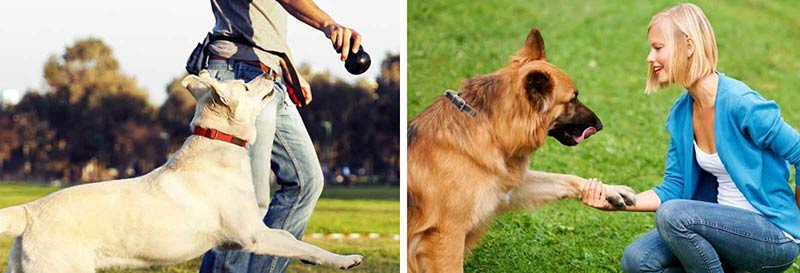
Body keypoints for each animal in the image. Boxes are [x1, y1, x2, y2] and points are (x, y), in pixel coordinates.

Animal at [0, 74, 362, 272]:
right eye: (245, 86)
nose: (269, 72)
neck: (218, 143)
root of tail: (28, 211)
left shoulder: (248, 235)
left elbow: (293, 240)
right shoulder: (253, 236)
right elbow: (306, 246)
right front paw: (345, 259)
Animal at [410, 28, 636, 270]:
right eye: (572, 99)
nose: (601, 125)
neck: (489, 127)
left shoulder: (508, 188)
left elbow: (565, 178)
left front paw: (610, 190)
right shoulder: (446, 234)